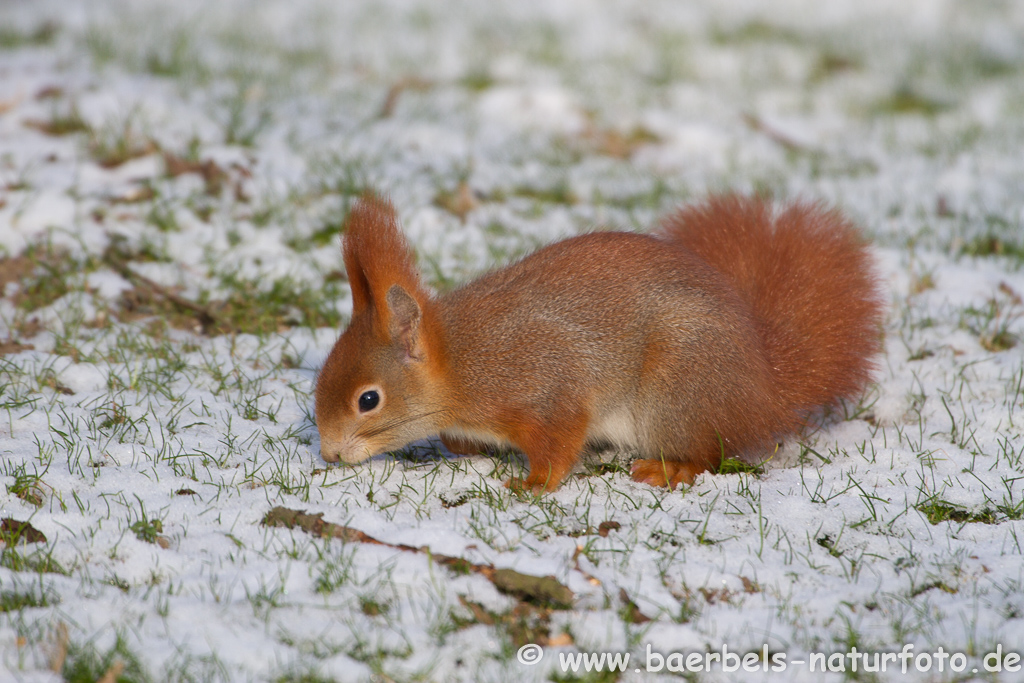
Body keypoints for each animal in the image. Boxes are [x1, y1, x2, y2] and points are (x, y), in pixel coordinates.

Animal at [315, 192, 884, 491]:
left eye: (369, 400)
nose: (328, 453)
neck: (462, 361)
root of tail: (763, 392)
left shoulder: (547, 387)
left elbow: (558, 444)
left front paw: (533, 484)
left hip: (676, 394)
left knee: (710, 453)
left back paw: (669, 467)